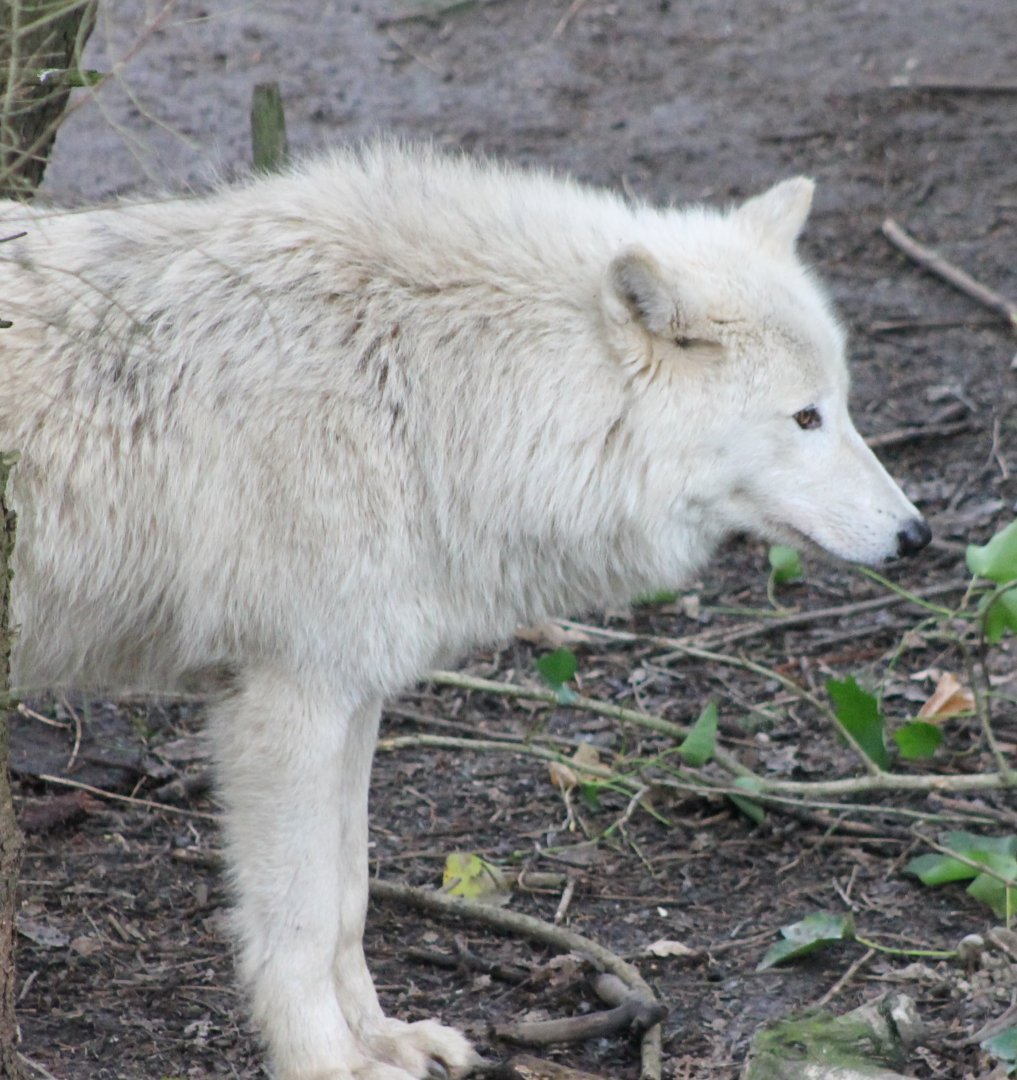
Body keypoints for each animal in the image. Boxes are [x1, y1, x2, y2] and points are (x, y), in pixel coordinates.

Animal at [0, 143, 929, 1079]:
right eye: (804, 417)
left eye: (842, 404)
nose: (915, 534)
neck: (421, 384)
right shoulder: (286, 702)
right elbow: (298, 919)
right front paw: (326, 1063)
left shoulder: (353, 694)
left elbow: (347, 899)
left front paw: (384, 1039)